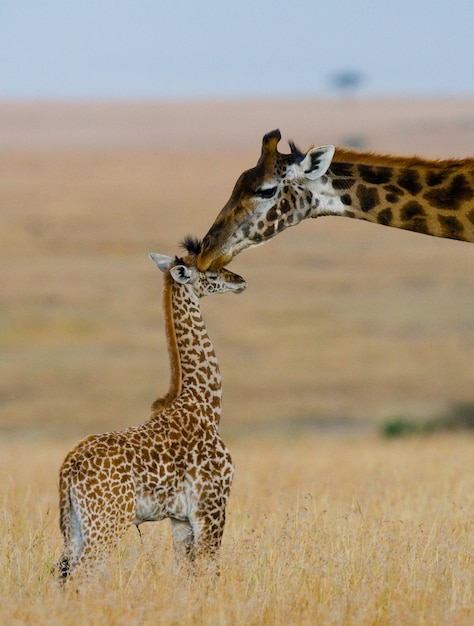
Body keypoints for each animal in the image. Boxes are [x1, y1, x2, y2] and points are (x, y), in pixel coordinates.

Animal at [57, 236, 246, 576]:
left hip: (76, 526)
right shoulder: (211, 506)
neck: (206, 404)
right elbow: (210, 571)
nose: (240, 281)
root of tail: (68, 467)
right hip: (107, 522)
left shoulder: (179, 519)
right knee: (82, 575)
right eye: (212, 274)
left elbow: (186, 574)